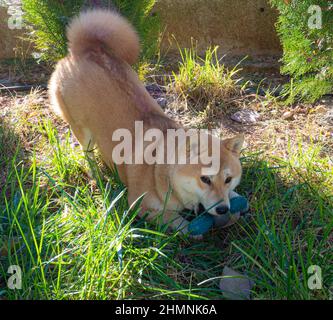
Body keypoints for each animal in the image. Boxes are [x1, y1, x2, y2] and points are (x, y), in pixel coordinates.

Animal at [48, 9, 244, 235]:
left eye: (228, 179)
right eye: (205, 179)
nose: (222, 209)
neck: (160, 171)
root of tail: (86, 48)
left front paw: (234, 205)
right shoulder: (139, 204)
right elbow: (176, 221)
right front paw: (191, 229)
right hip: (81, 129)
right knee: (87, 153)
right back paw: (97, 174)